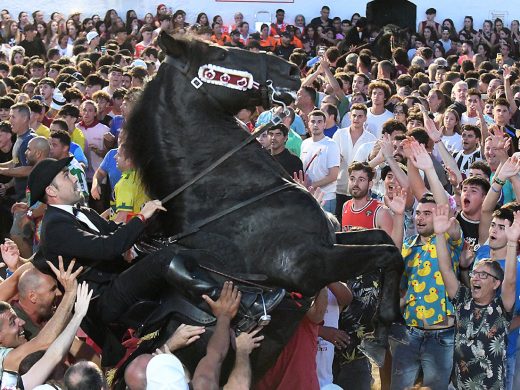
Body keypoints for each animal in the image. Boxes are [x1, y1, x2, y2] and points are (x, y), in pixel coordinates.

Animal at [121, 31, 402, 384]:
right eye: (220, 55)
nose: (292, 70)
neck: (236, 195)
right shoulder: (311, 265)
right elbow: (388, 254)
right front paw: (383, 332)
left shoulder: (330, 240)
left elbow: (385, 239)